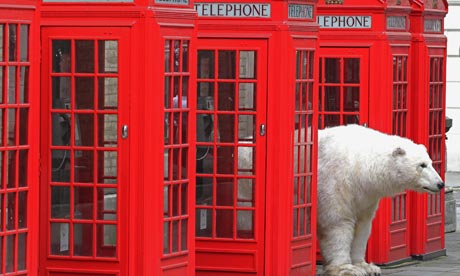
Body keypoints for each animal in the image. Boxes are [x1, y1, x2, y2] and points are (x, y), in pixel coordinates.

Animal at [318, 124, 444, 276]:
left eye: (430, 162)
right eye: (422, 165)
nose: (440, 184)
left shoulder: (364, 196)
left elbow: (362, 226)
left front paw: (367, 267)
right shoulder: (334, 185)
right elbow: (338, 223)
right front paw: (346, 269)